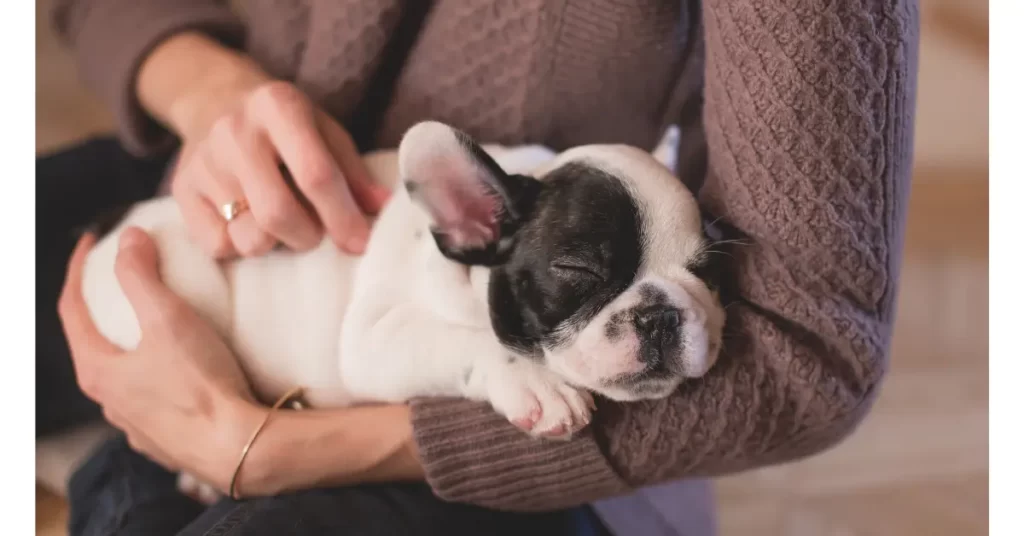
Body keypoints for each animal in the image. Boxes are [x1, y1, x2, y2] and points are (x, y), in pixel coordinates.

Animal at [72, 121, 724, 504]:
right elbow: (466, 341)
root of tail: (115, 224)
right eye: (580, 270)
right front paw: (536, 384)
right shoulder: (373, 340)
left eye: (707, 270)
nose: (662, 314)